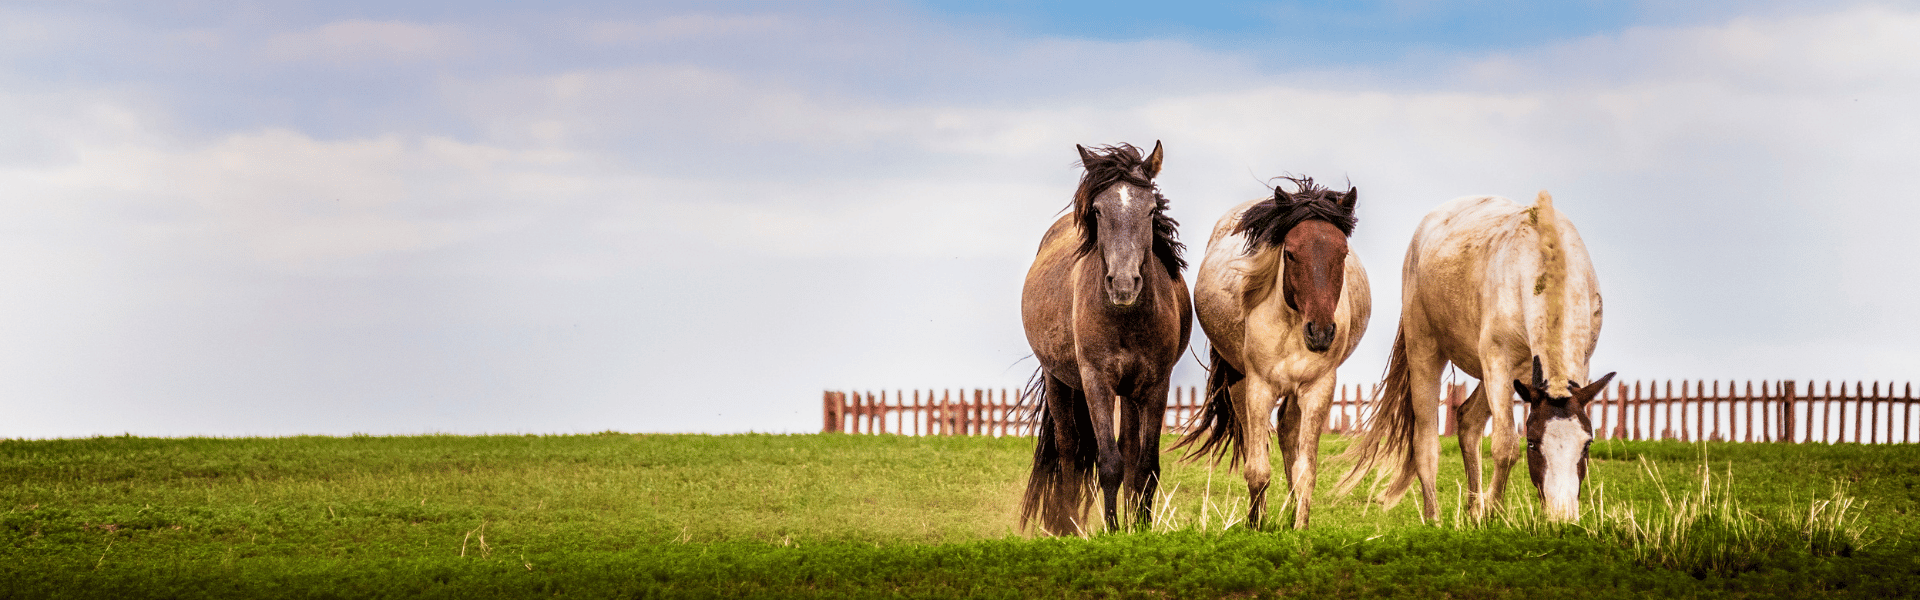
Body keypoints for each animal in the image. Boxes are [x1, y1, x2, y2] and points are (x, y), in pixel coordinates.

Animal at [1020, 141, 1193, 535]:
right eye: (1098, 210)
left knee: (1129, 448)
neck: (1125, 319)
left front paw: (1140, 528)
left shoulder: (1155, 384)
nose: (1124, 284)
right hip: (1058, 381)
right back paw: (1068, 524)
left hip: (1129, 391)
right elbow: (1110, 463)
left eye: (1151, 210)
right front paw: (1113, 532)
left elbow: (1145, 464)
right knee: (1069, 447)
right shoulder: (1096, 381)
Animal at [1170, 176, 1370, 530]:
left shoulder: (1319, 388)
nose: (1321, 332)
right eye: (1289, 253)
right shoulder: (1259, 387)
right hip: (1239, 383)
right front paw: (1255, 525)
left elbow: (1305, 468)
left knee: (1287, 433)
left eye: (1343, 252)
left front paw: (1300, 528)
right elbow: (1257, 469)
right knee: (1256, 442)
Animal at [1338, 191, 1615, 522]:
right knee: (1426, 442)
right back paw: (1434, 519)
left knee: (1468, 422)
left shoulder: (1578, 366)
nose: (1562, 515)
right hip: (1426, 352)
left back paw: (1473, 512)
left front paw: (1486, 512)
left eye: (1587, 445)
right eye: (1533, 444)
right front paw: (1494, 514)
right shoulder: (1498, 361)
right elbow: (1506, 445)